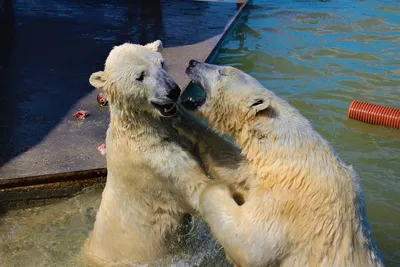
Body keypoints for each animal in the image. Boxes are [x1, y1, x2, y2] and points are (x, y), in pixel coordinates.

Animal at [83, 43, 216, 266]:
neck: (136, 129)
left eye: (161, 63)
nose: (173, 91)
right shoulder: (152, 162)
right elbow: (196, 189)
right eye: (140, 76)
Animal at [181, 60, 384, 267]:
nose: (192, 63)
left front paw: (213, 188)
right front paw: (183, 120)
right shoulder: (264, 171)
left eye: (222, 72)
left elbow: (248, 242)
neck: (288, 152)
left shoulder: (288, 199)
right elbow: (233, 167)